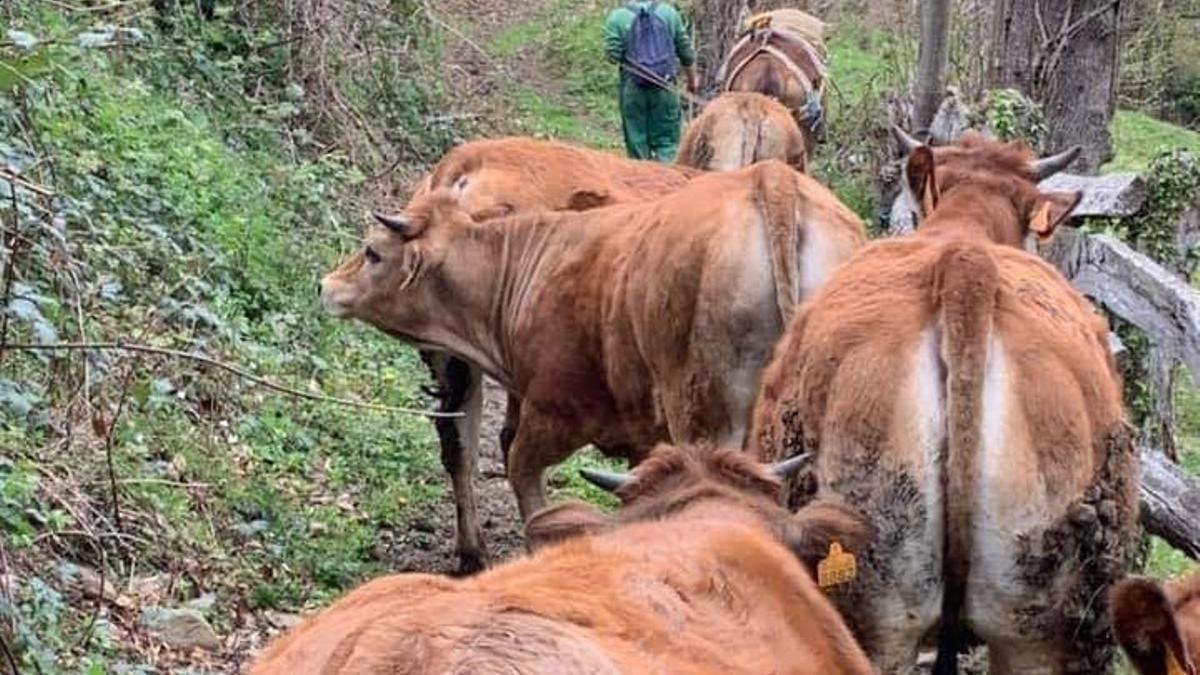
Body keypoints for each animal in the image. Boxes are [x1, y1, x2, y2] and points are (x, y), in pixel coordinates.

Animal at [324, 159, 868, 516]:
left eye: (372, 252)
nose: (325, 285)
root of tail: (772, 177)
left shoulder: (549, 416)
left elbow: (525, 480)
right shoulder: (640, 438)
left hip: (706, 414)